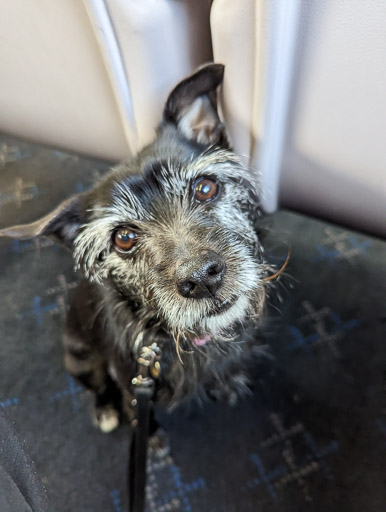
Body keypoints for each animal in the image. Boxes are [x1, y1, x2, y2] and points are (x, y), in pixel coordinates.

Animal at [1, 63, 270, 432]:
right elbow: (140, 413)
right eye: (123, 238)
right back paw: (104, 411)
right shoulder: (134, 383)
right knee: (98, 386)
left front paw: (229, 385)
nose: (202, 278)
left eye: (205, 188)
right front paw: (152, 437)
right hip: (80, 359)